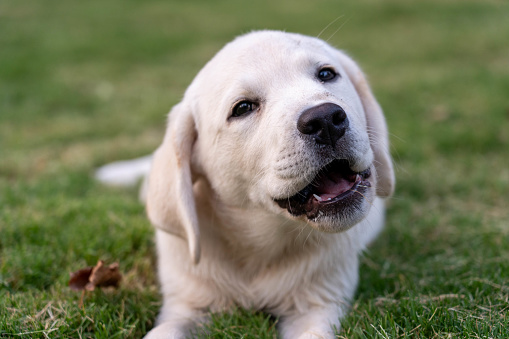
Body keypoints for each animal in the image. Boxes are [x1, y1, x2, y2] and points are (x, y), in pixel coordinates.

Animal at [97, 30, 394, 338]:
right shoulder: (186, 305)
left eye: (326, 74)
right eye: (243, 108)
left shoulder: (319, 304)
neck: (259, 242)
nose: (325, 119)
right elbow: (163, 332)